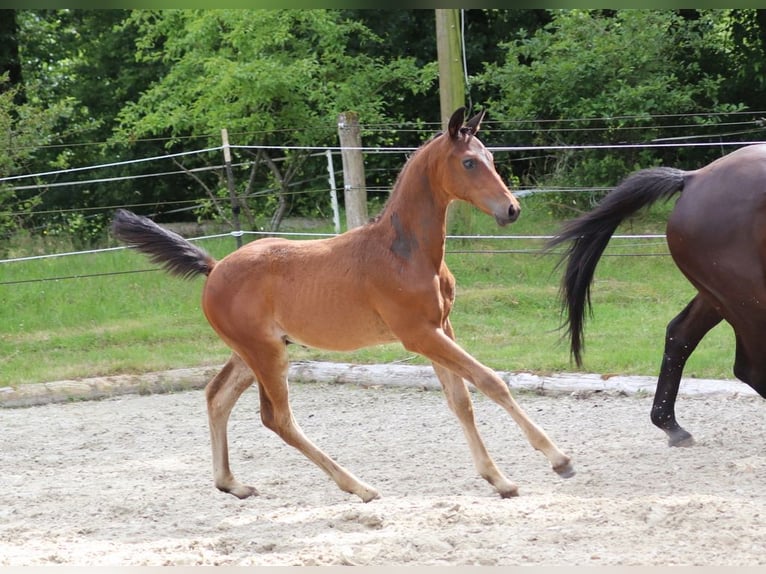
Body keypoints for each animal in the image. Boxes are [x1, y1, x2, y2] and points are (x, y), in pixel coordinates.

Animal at [111, 109, 572, 504]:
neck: (404, 252)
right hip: (266, 354)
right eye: (470, 163)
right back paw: (359, 486)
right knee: (277, 419)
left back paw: (232, 484)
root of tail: (214, 267)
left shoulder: (442, 327)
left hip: (252, 351)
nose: (511, 209)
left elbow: (461, 400)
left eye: (490, 157)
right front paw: (558, 458)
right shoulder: (418, 334)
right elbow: (491, 381)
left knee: (216, 397)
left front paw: (499, 479)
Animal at [552, 145, 766, 450]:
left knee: (681, 335)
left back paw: (670, 425)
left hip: (722, 294)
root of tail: (693, 178)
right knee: (749, 367)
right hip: (744, 295)